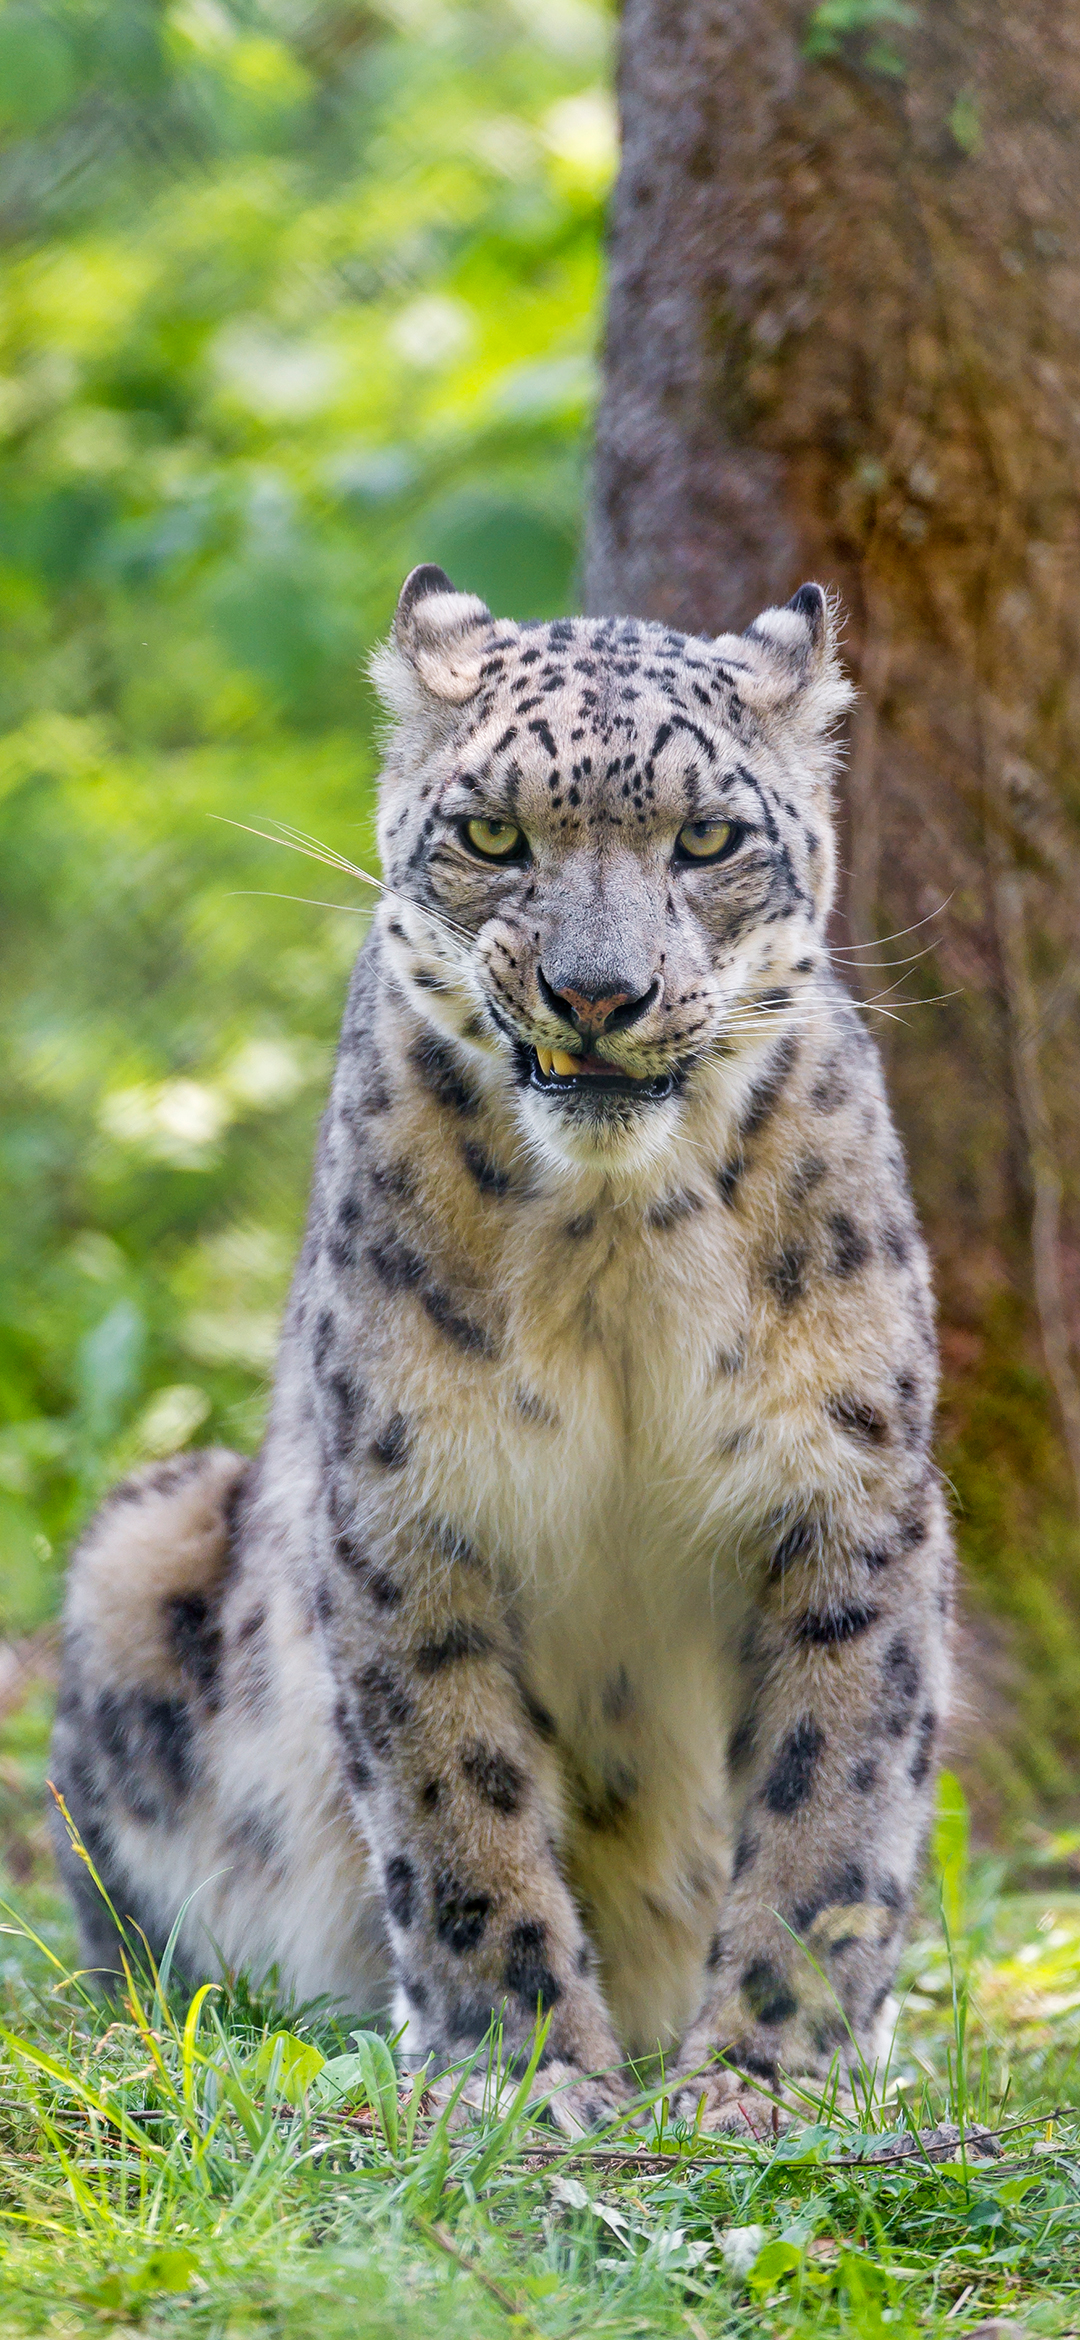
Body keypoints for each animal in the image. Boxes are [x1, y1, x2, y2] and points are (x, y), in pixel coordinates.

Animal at [50, 561, 949, 2124]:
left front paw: (769, 2076)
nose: (598, 994)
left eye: (707, 837)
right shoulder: (410, 1504)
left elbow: (830, 1808)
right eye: (489, 833)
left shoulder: (850, 1497)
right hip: (136, 1550)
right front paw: (517, 2071)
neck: (617, 1246)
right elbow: (456, 1798)